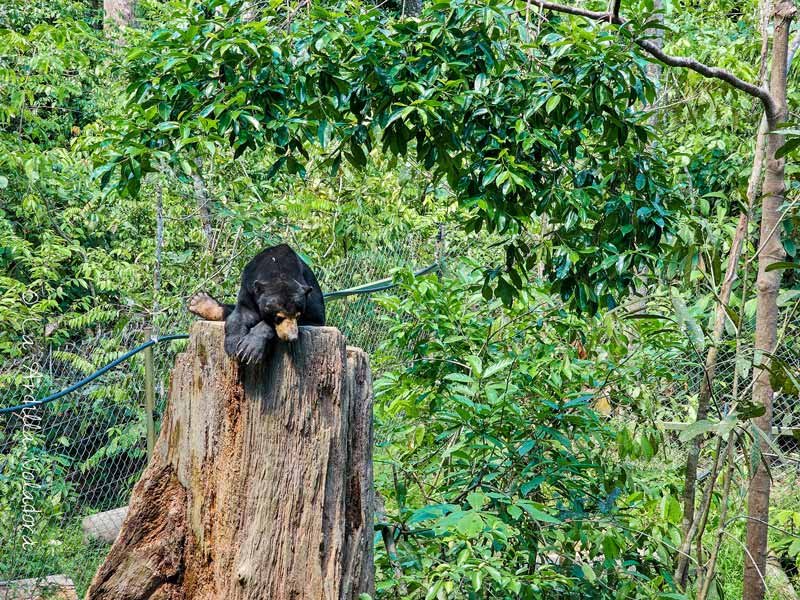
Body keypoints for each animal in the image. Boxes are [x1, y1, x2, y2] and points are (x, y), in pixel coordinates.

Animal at [188, 243, 324, 364]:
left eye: (298, 315)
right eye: (279, 317)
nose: (292, 337)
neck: (278, 270)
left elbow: (314, 319)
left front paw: (248, 350)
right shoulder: (249, 286)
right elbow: (242, 314)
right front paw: (233, 345)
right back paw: (200, 302)